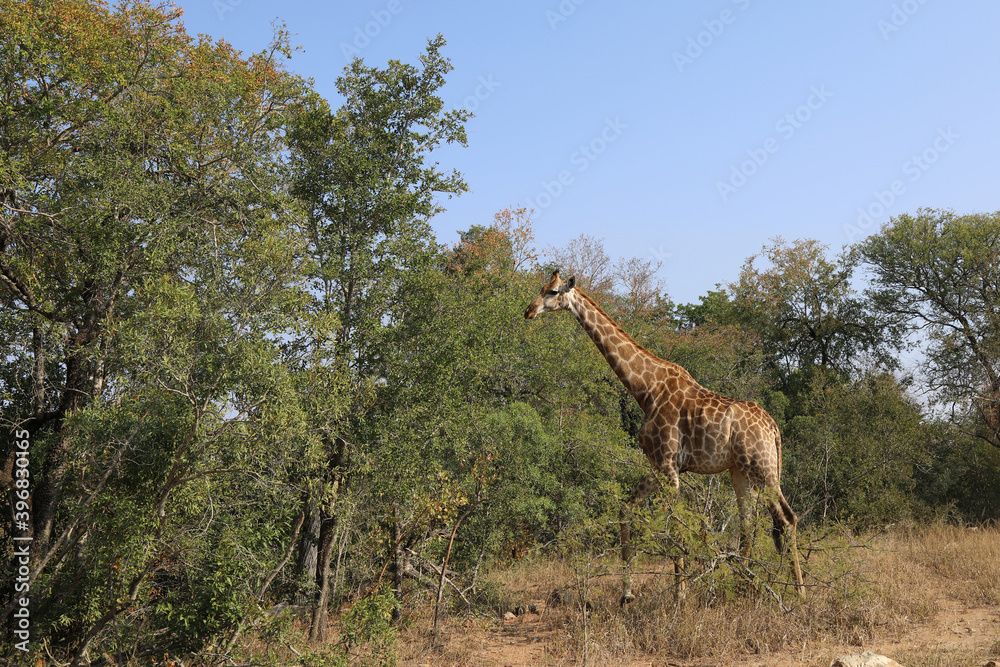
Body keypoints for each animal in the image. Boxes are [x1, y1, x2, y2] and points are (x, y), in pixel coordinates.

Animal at [524, 271, 805, 602]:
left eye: (553, 291)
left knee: (787, 519)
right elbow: (626, 509)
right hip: (739, 471)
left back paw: (799, 592)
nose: (528, 311)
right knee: (747, 525)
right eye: (541, 288)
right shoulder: (657, 466)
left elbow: (675, 527)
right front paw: (627, 594)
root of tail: (773, 428)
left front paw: (679, 596)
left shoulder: (669, 465)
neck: (646, 389)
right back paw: (744, 587)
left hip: (762, 468)